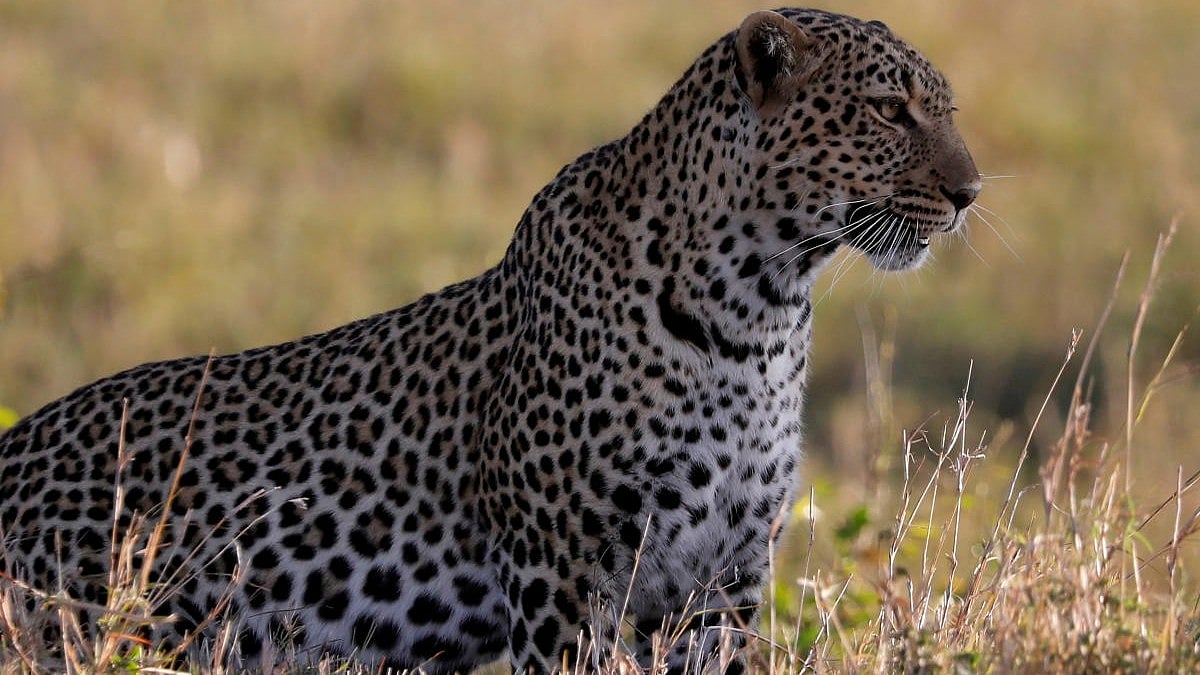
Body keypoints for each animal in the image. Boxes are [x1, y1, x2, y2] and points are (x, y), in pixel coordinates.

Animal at [0, 8, 979, 673]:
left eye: (944, 110)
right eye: (890, 111)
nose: (971, 191)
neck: (758, 310)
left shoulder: (723, 576)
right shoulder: (565, 570)